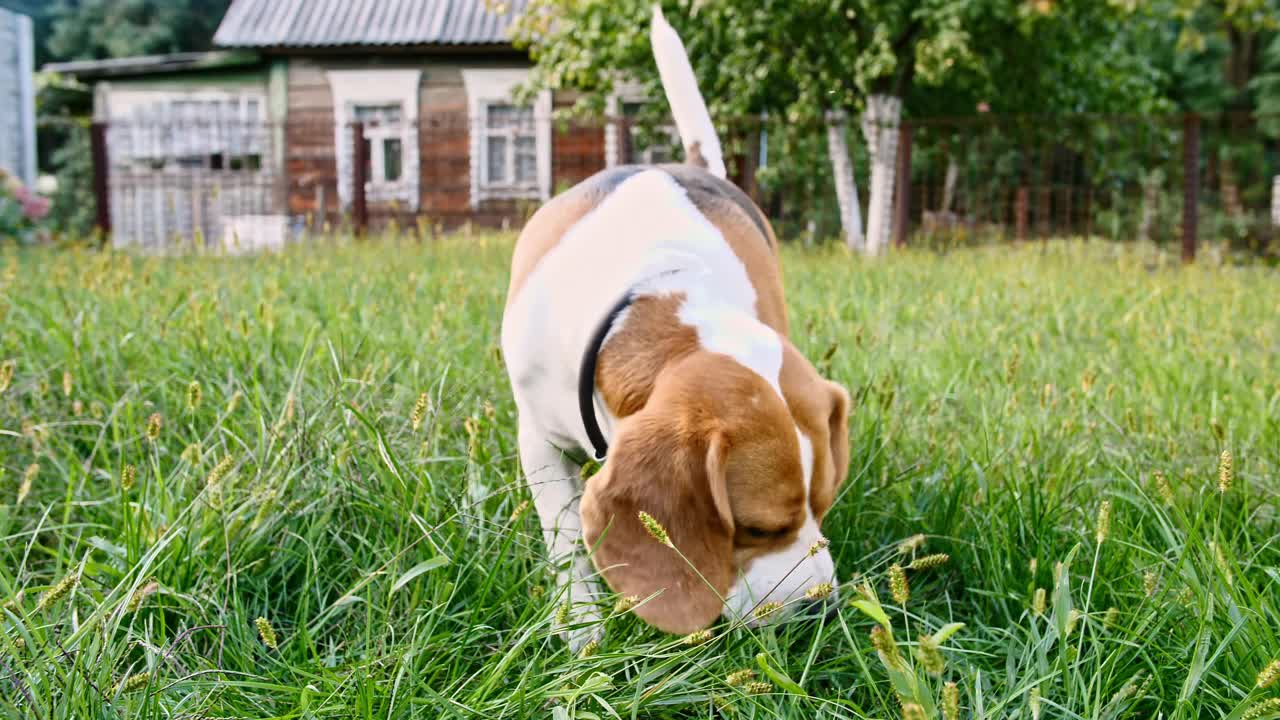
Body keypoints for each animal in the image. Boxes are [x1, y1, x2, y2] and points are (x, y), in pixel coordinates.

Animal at [501, 7, 849, 645]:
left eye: (825, 503)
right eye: (756, 528)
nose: (821, 609)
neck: (657, 286)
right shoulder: (536, 433)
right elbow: (562, 530)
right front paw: (582, 626)